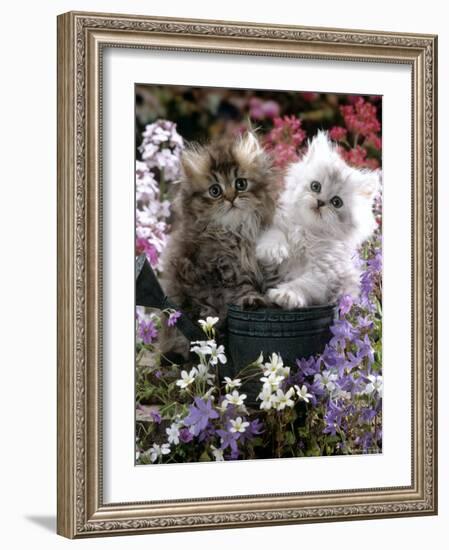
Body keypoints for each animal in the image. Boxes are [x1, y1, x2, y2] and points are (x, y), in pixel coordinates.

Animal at [161, 131, 278, 334]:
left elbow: (274, 279)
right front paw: (253, 300)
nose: (231, 198)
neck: (237, 231)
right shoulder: (224, 266)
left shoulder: (264, 257)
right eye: (215, 191)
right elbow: (242, 288)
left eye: (240, 184)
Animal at [258, 131, 380, 308]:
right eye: (315, 186)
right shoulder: (280, 229)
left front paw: (284, 295)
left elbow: (302, 284)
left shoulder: (323, 275)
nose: (320, 202)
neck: (308, 232)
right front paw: (272, 251)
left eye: (336, 202)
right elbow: (275, 235)